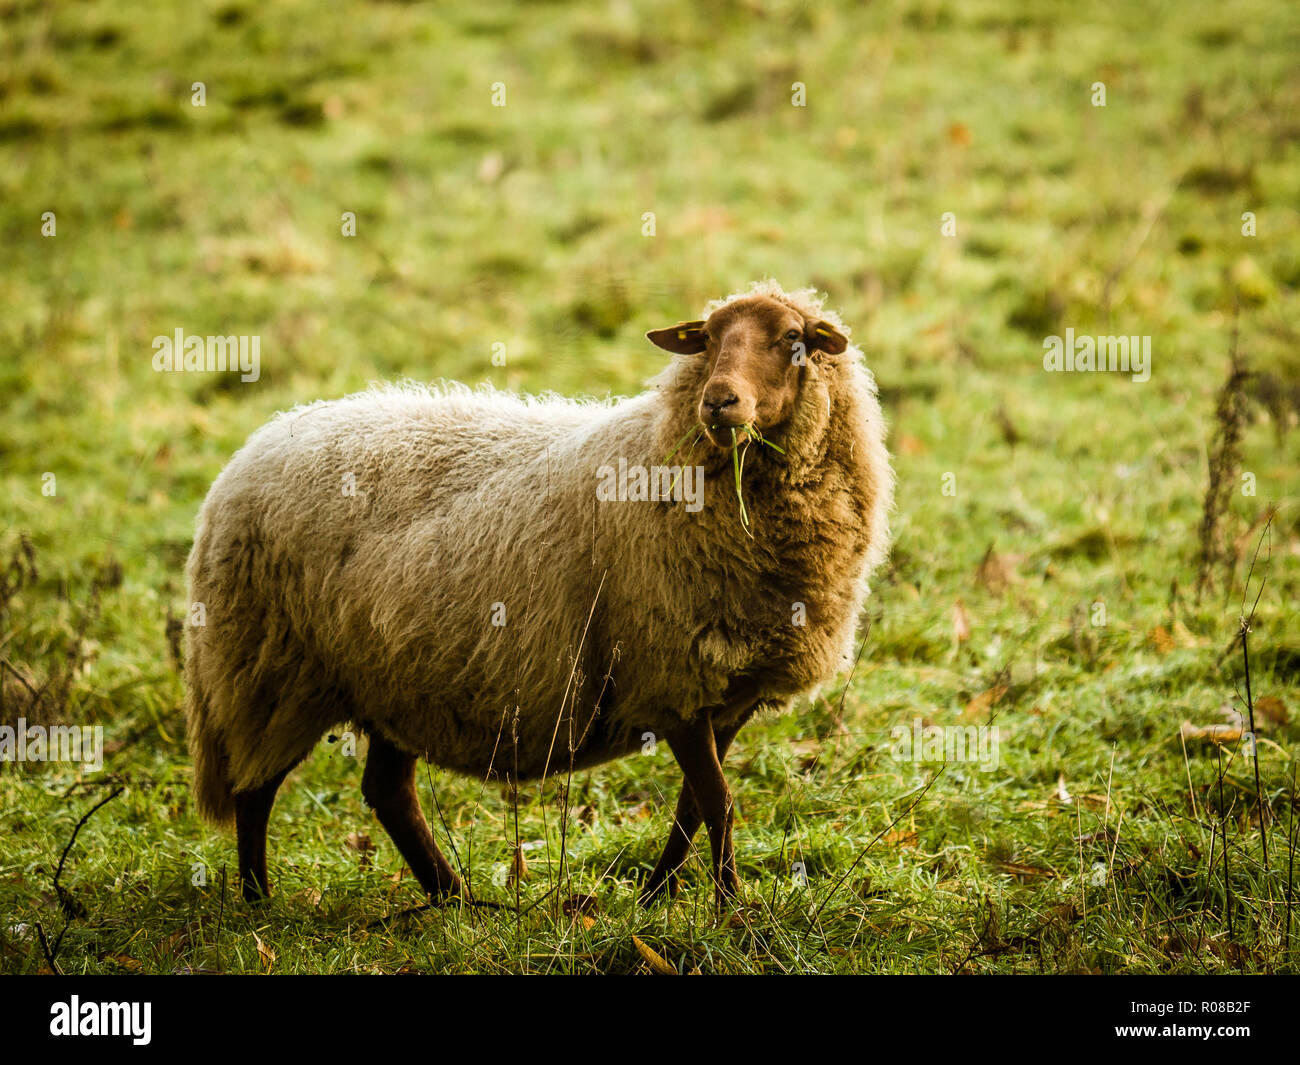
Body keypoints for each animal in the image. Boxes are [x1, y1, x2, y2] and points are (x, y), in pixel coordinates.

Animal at [185, 279, 893, 910]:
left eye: (794, 340)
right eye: (708, 340)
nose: (719, 402)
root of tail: (248, 453)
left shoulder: (727, 692)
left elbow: (695, 803)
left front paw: (657, 898)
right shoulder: (672, 679)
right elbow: (717, 800)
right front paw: (728, 909)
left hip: (391, 678)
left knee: (386, 791)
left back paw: (455, 901)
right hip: (269, 668)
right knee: (254, 789)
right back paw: (259, 903)